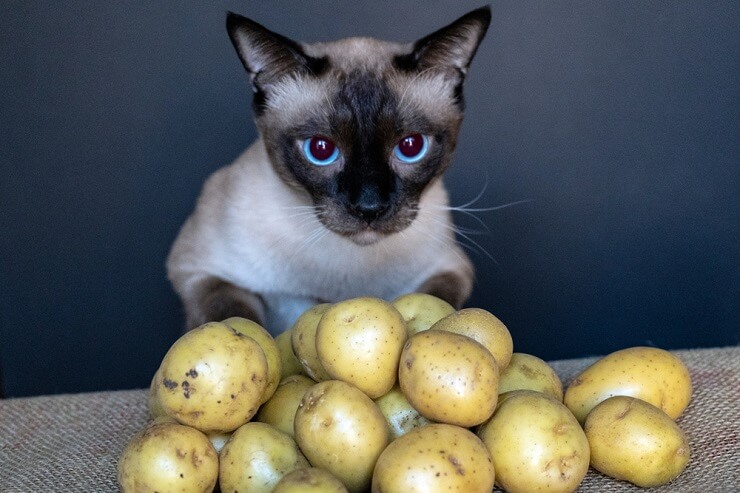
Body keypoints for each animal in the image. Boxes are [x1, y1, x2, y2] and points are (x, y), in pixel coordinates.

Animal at [166, 5, 492, 332]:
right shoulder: (197, 270)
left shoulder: (451, 268)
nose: (369, 208)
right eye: (321, 149)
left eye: (411, 146)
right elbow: (230, 315)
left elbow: (441, 302)